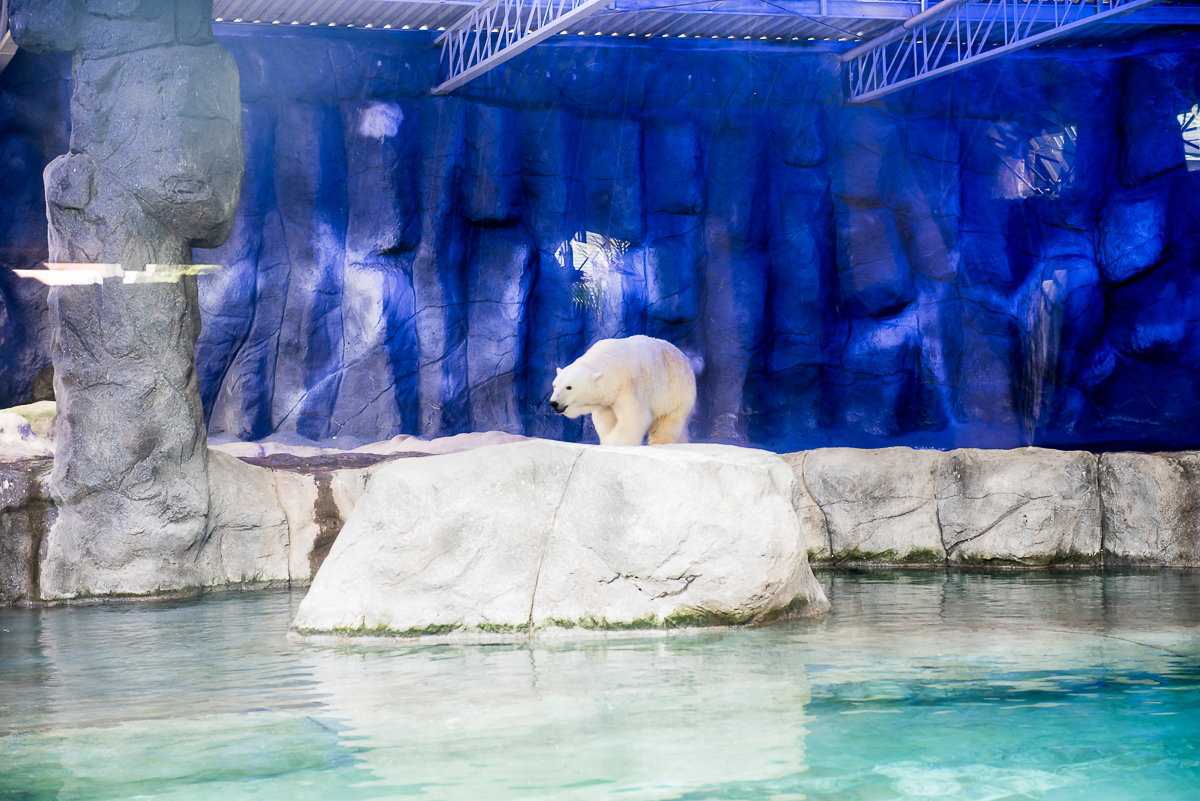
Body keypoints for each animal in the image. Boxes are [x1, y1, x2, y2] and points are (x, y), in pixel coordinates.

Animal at [549, 335, 697, 446]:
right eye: (554, 385)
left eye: (569, 387)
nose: (554, 403)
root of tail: (685, 359)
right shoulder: (606, 401)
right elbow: (605, 421)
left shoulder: (630, 384)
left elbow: (635, 416)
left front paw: (612, 442)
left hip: (675, 391)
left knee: (666, 422)